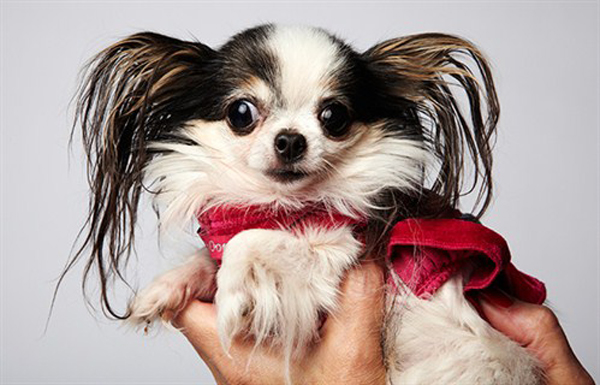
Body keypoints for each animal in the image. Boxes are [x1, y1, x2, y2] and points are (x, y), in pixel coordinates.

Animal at [68, 25, 548, 382]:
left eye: (334, 116)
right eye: (241, 113)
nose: (290, 139)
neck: (281, 205)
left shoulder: (337, 251)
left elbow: (251, 243)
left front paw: (233, 294)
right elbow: (211, 255)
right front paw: (166, 288)